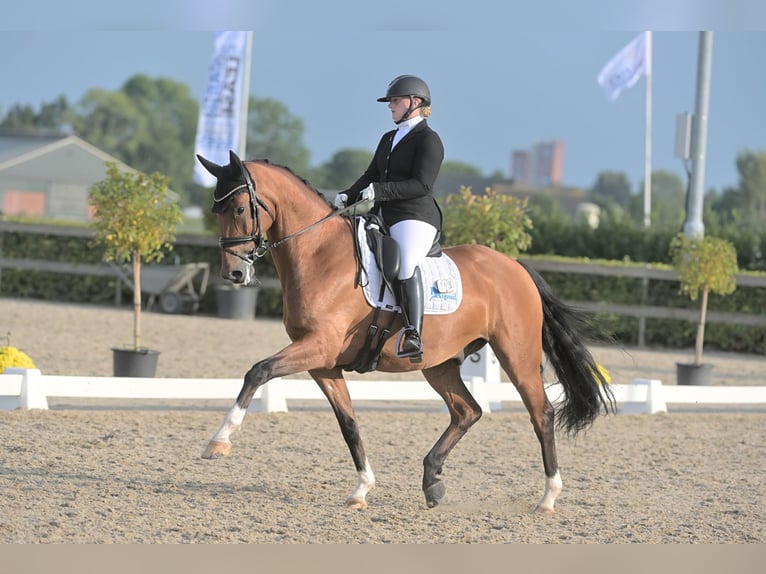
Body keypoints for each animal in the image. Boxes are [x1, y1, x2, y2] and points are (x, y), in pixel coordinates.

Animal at [198, 151, 616, 516]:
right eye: (216, 211)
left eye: (239, 209)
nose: (234, 273)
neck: (318, 255)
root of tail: (514, 266)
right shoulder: (323, 362)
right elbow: (349, 424)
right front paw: (362, 490)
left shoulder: (318, 347)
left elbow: (258, 371)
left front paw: (220, 441)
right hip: (438, 363)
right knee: (467, 410)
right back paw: (432, 481)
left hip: (517, 355)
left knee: (541, 414)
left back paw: (547, 498)